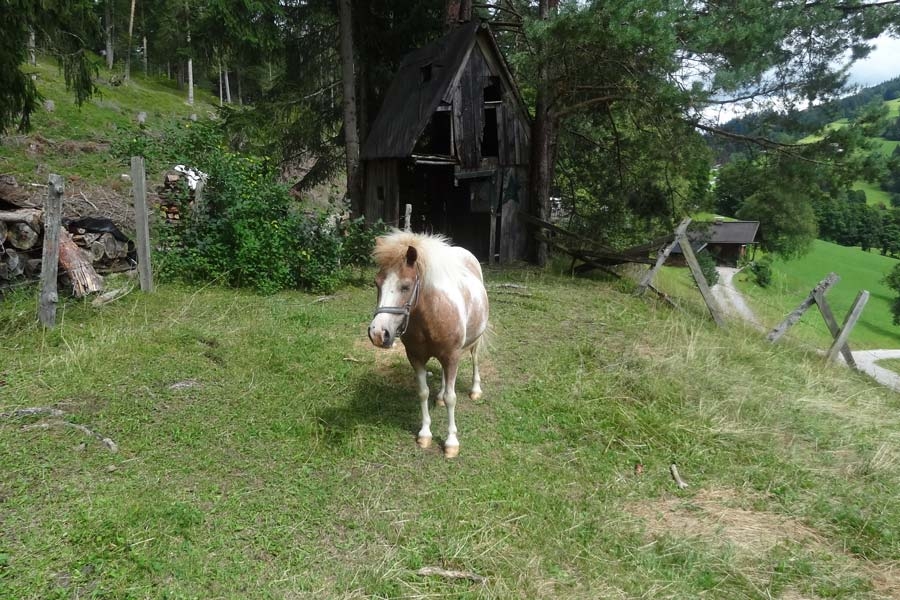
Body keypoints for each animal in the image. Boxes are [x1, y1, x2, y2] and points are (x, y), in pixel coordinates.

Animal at [368, 232, 488, 458]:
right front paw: (424, 434)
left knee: (475, 359)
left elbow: (452, 398)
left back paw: (475, 390)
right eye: (377, 283)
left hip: (475, 340)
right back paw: (439, 396)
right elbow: (423, 392)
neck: (431, 313)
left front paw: (451, 442)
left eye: (405, 286)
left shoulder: (452, 356)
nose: (378, 334)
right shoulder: (415, 357)